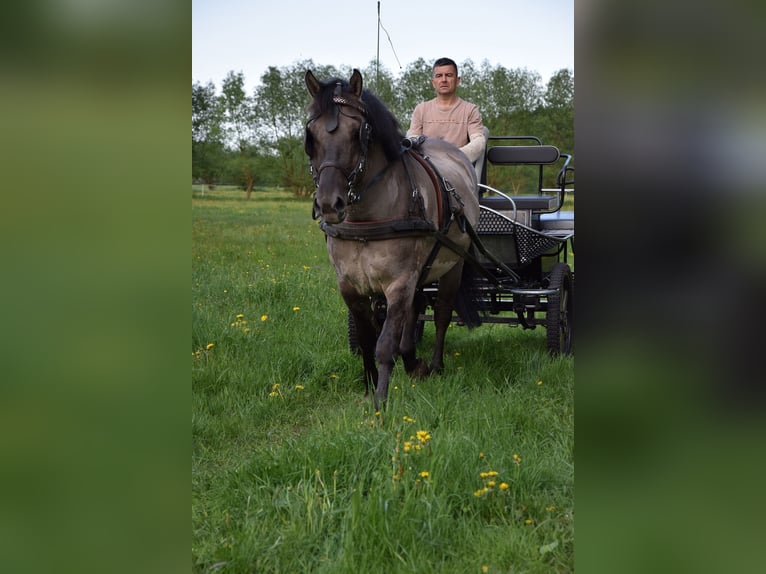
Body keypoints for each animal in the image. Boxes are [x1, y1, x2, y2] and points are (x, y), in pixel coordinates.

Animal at [304, 68, 481, 408]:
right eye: (311, 135)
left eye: (357, 132)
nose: (330, 204)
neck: (365, 218)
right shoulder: (350, 286)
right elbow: (366, 337)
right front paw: (369, 384)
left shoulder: (399, 281)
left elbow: (385, 343)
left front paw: (380, 403)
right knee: (415, 309)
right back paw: (412, 361)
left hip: (453, 265)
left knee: (441, 314)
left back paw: (434, 365)